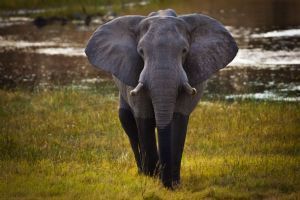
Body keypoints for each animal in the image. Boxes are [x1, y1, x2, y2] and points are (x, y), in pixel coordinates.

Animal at [85, 8, 238, 188]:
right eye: (141, 52)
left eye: (184, 51)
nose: (166, 184)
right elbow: (143, 118)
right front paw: (152, 178)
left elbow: (178, 120)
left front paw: (174, 184)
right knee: (127, 121)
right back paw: (142, 172)